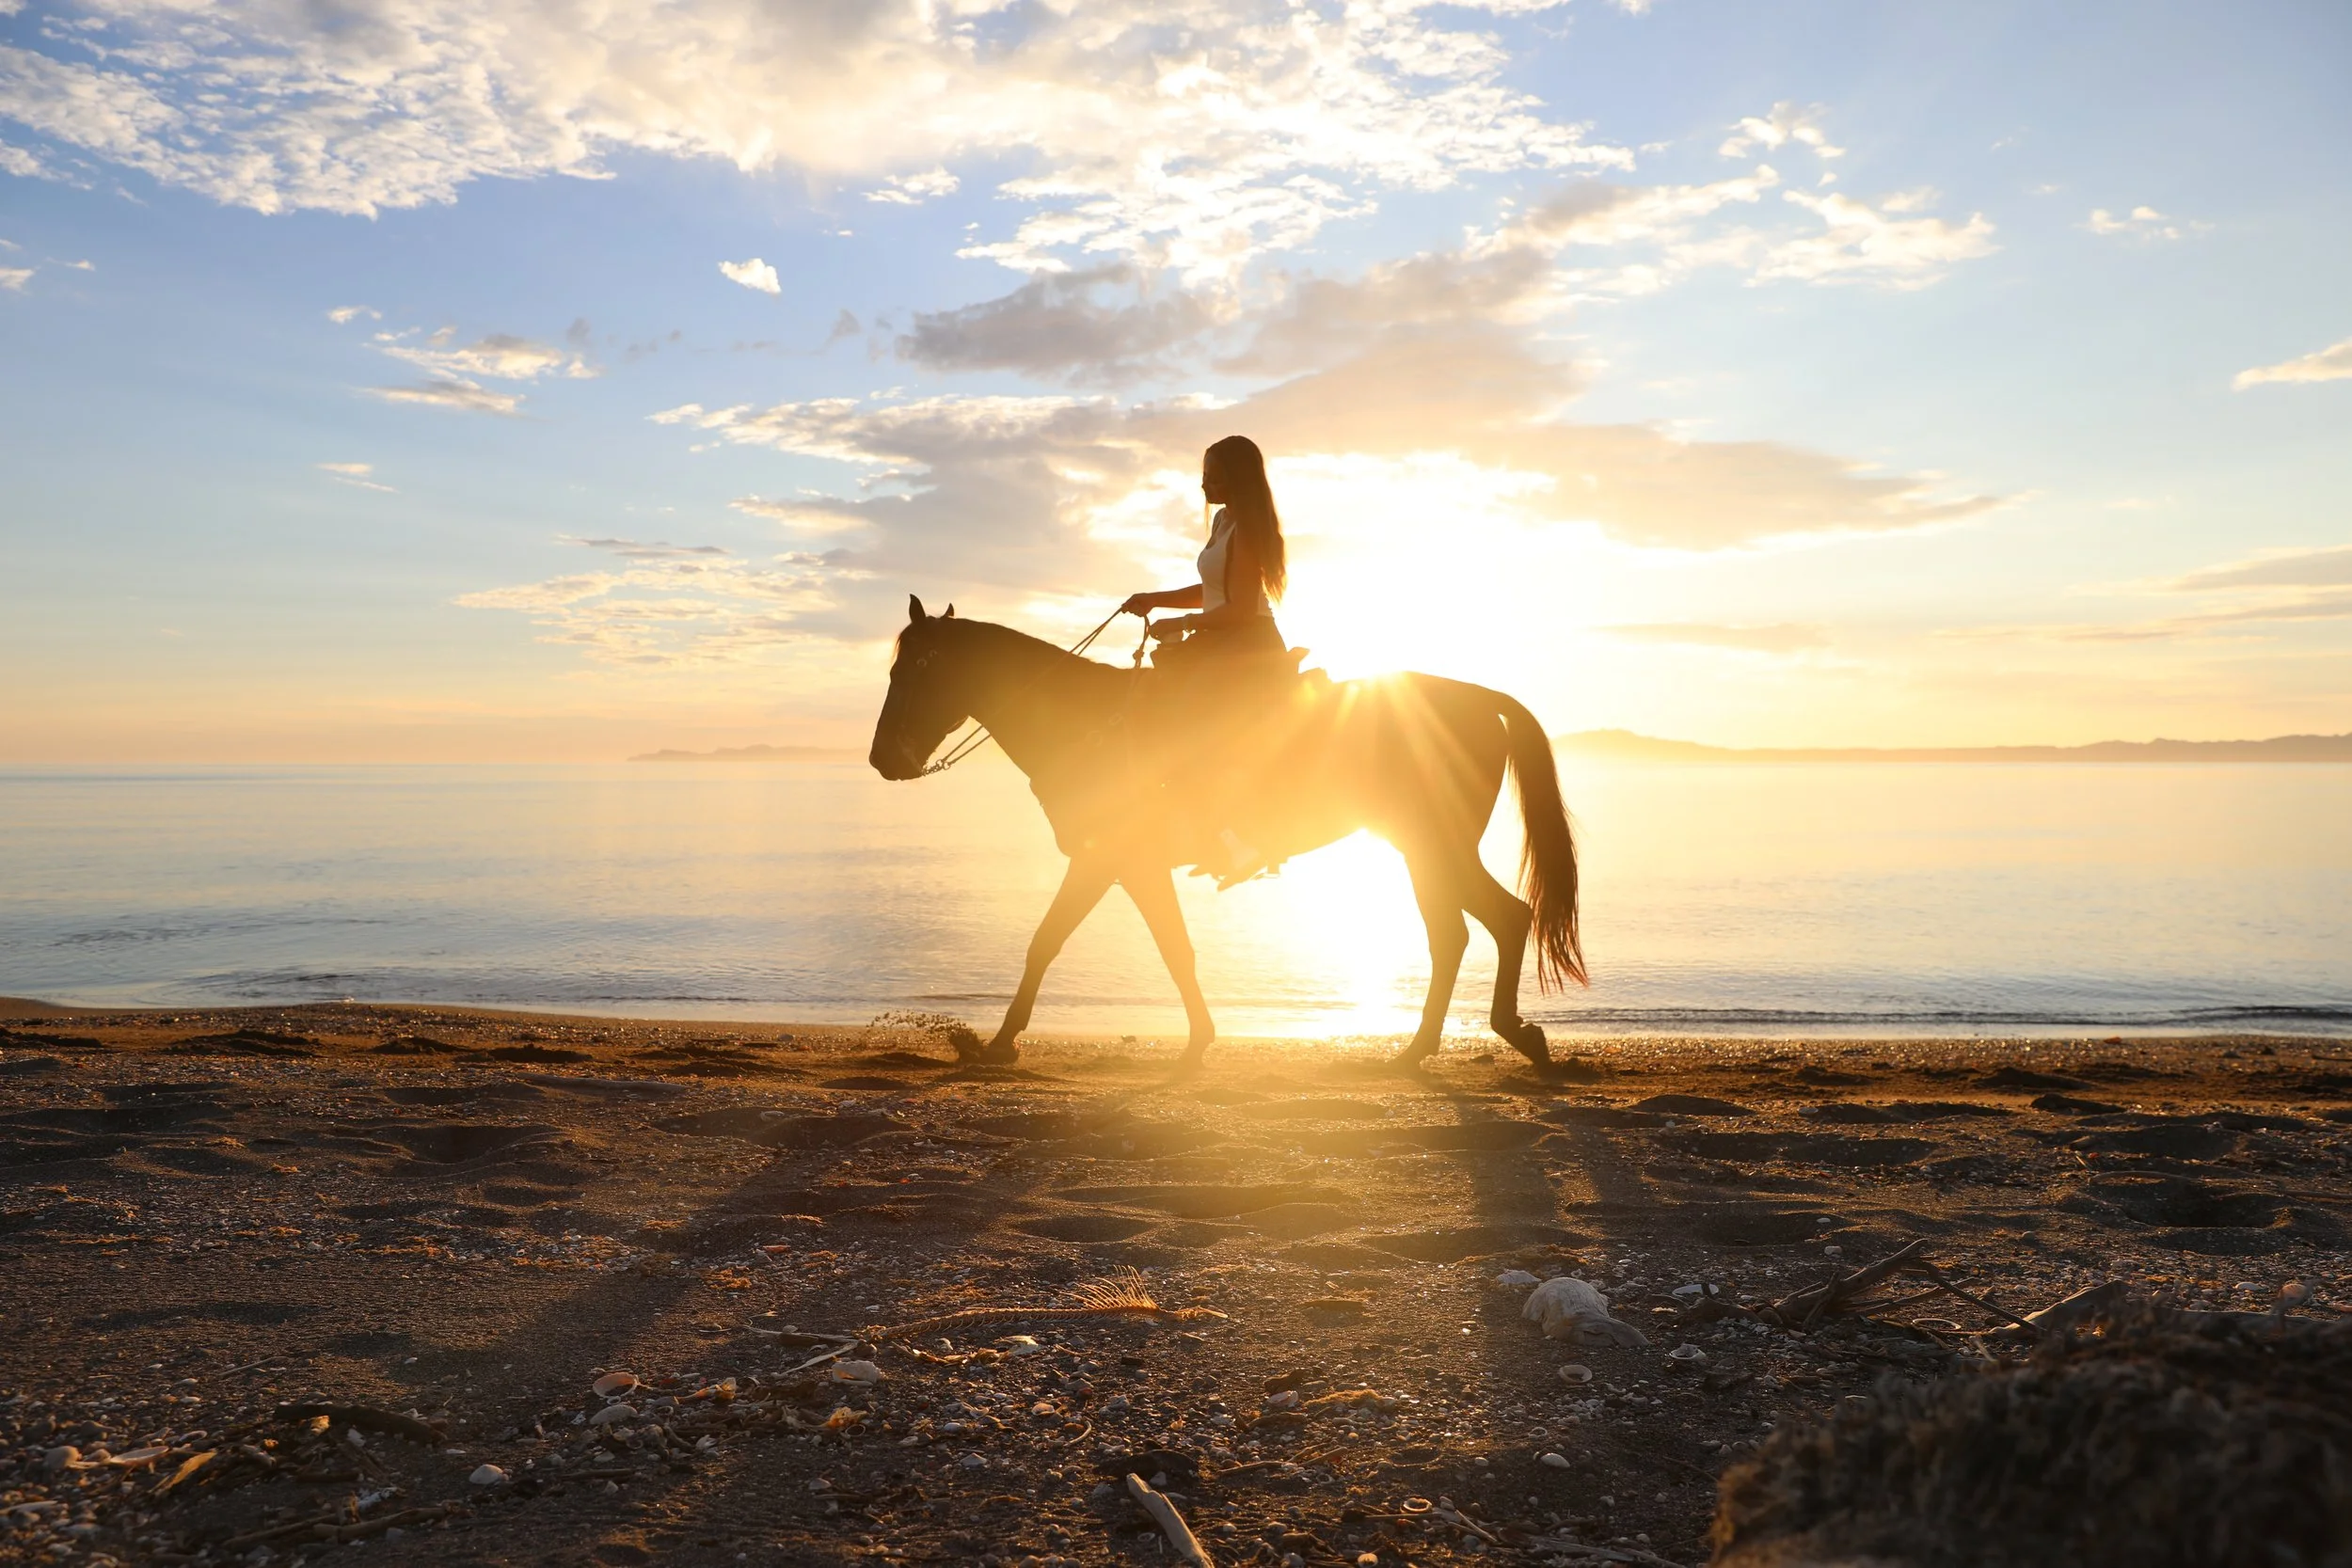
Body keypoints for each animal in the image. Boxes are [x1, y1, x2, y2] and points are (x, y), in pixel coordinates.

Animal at [868, 596, 1586, 1069]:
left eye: (914, 671)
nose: (882, 760)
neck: (1084, 722)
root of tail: (1479, 698)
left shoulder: (1113, 862)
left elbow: (1075, 943)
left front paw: (998, 1042)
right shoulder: (1121, 866)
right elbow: (1133, 947)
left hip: (1430, 846)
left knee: (1475, 927)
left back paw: (1441, 1046)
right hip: (1432, 849)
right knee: (1484, 925)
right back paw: (1472, 1040)